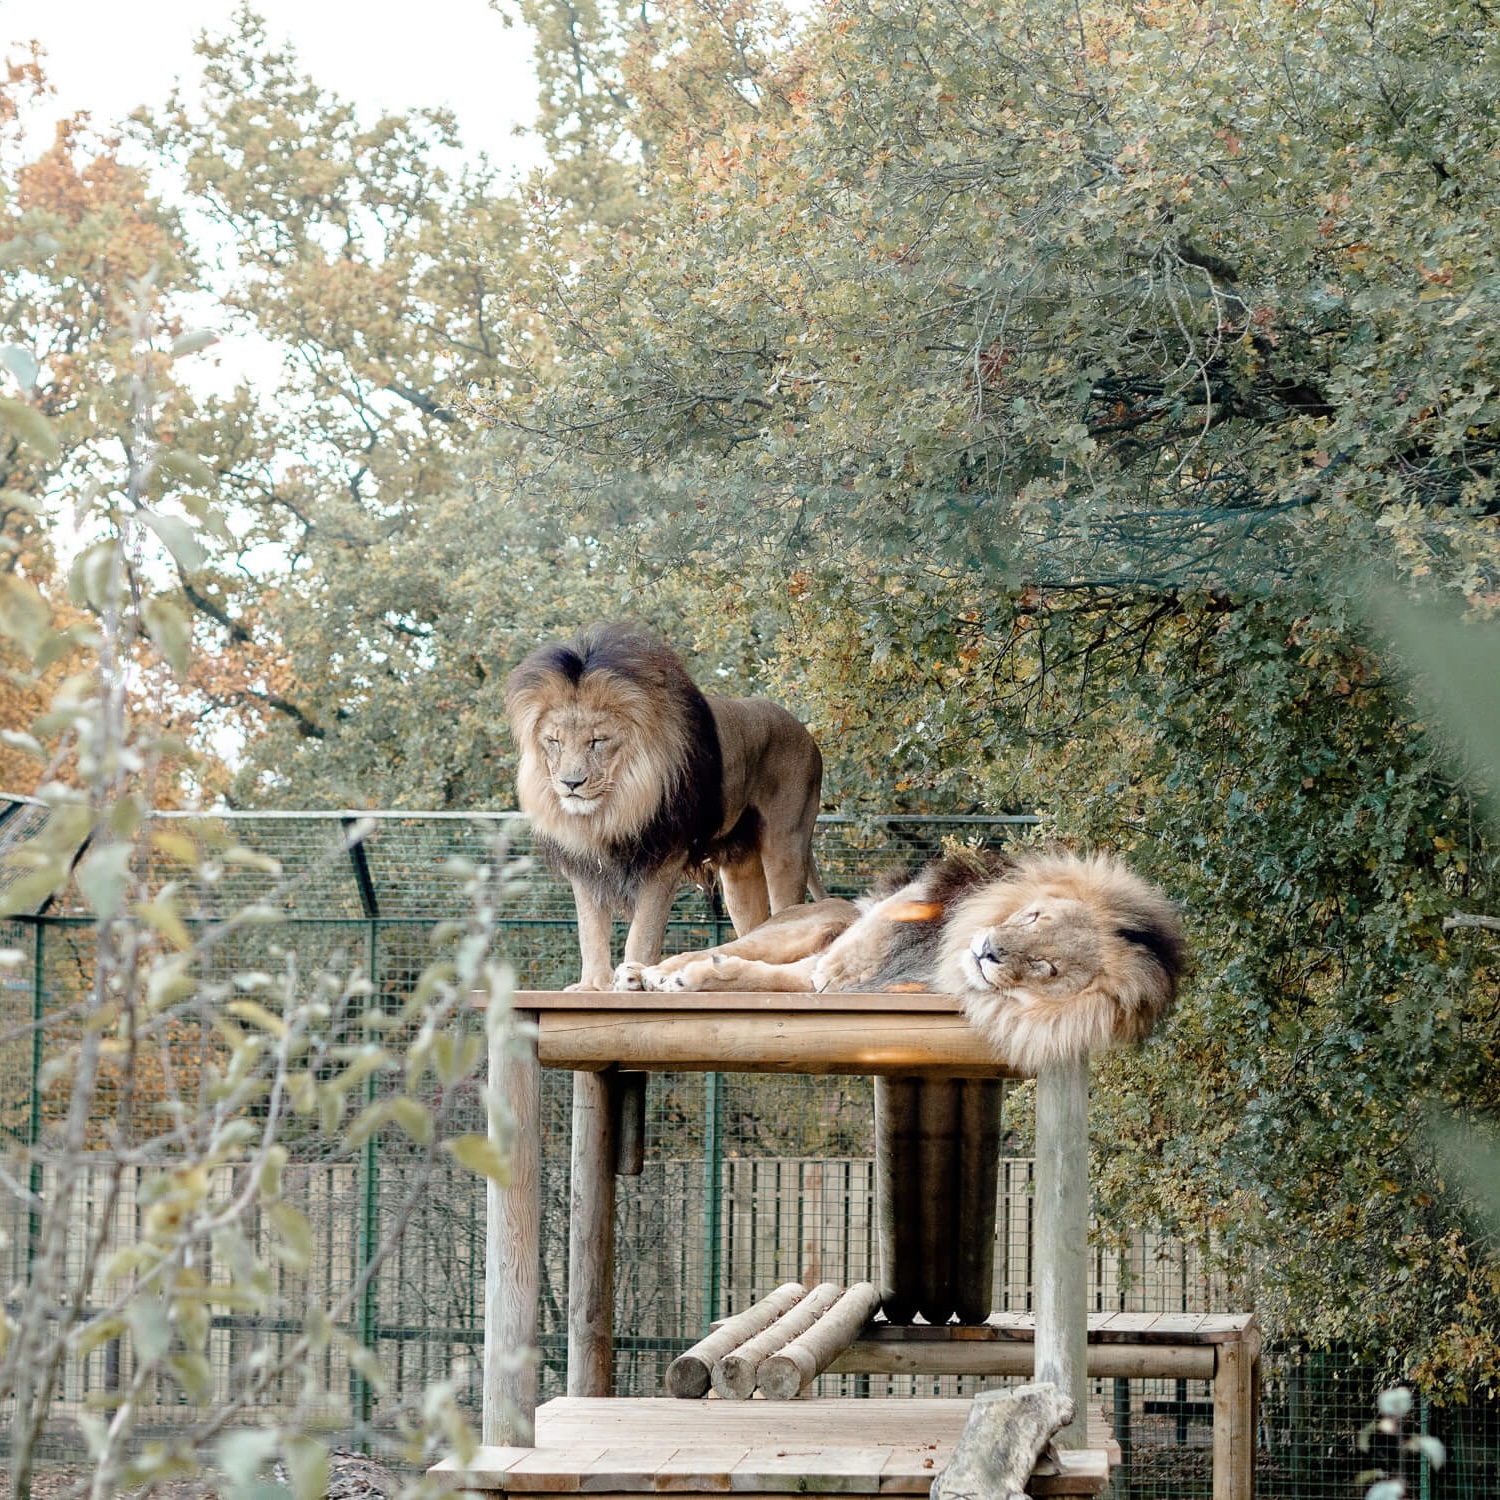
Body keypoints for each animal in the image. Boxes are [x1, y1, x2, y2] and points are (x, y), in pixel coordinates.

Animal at [505, 622, 825, 990]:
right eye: (554, 741)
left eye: (597, 741)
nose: (571, 784)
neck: (610, 811)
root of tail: (806, 733)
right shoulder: (586, 866)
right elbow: (590, 932)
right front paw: (593, 986)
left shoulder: (665, 858)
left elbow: (643, 932)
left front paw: (631, 978)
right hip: (738, 873)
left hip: (786, 844)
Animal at [618, 849, 1186, 1072]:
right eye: (1034, 917)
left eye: (1048, 968)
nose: (989, 951)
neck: (939, 958)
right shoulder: (847, 955)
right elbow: (758, 967)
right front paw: (676, 977)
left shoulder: (831, 982)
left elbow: (770, 981)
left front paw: (691, 981)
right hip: (815, 921)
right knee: (730, 946)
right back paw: (641, 974)